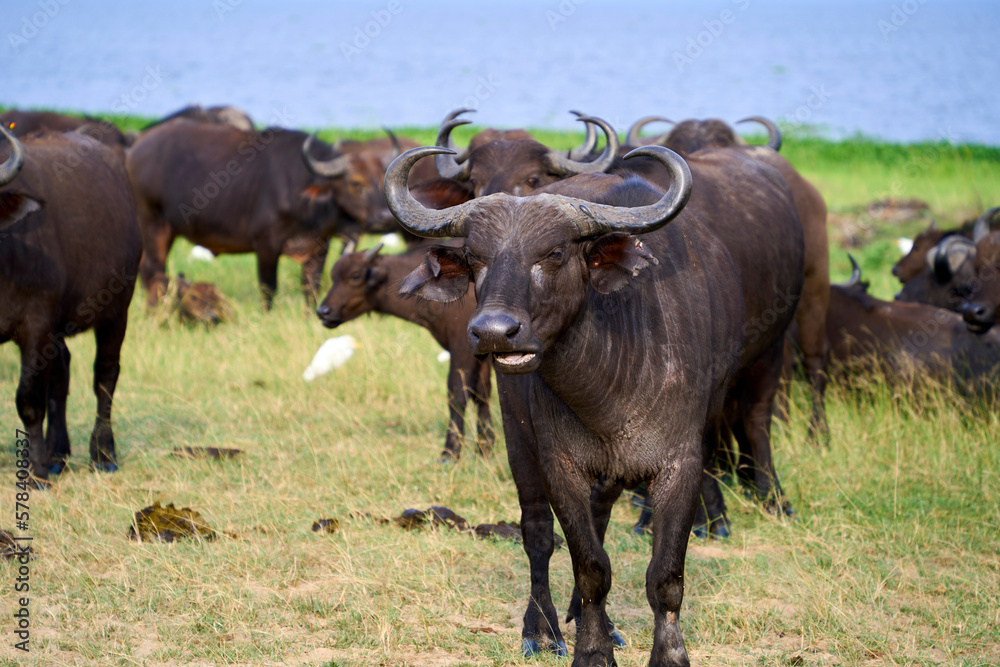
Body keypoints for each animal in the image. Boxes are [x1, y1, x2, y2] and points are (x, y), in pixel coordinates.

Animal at [0, 125, 143, 480]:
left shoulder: (35, 325)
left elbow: (29, 400)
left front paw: (35, 472)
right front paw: (45, 461)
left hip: (118, 309)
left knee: (105, 375)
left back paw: (103, 454)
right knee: (61, 373)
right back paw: (57, 454)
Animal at [128, 119, 398, 308]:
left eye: (380, 179)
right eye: (355, 183)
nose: (384, 218)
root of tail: (137, 148)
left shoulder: (319, 247)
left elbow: (312, 287)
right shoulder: (266, 245)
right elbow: (269, 288)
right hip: (152, 224)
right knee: (153, 269)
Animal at [386, 145, 800, 667]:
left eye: (555, 253)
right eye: (476, 258)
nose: (494, 332)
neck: (609, 388)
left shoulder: (682, 463)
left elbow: (665, 575)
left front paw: (666, 653)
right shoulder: (559, 464)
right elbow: (588, 566)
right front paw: (591, 649)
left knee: (601, 520)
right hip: (517, 434)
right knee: (538, 533)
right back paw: (542, 628)